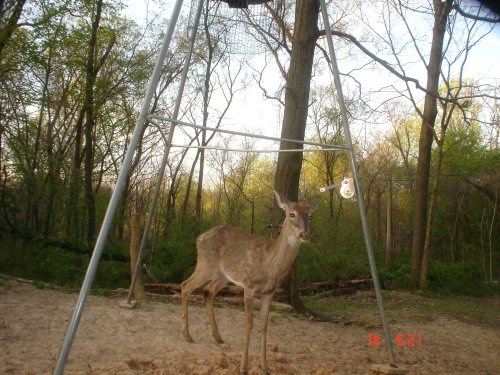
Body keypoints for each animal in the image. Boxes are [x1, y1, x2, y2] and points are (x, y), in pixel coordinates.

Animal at [182, 191, 318, 375]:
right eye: (292, 214)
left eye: (310, 216)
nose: (305, 234)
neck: (270, 263)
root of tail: (199, 237)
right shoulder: (249, 285)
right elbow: (249, 324)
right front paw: (243, 367)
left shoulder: (269, 292)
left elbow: (264, 326)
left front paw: (265, 366)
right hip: (205, 264)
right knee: (185, 286)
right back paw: (187, 335)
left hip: (223, 275)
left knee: (207, 291)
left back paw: (218, 337)